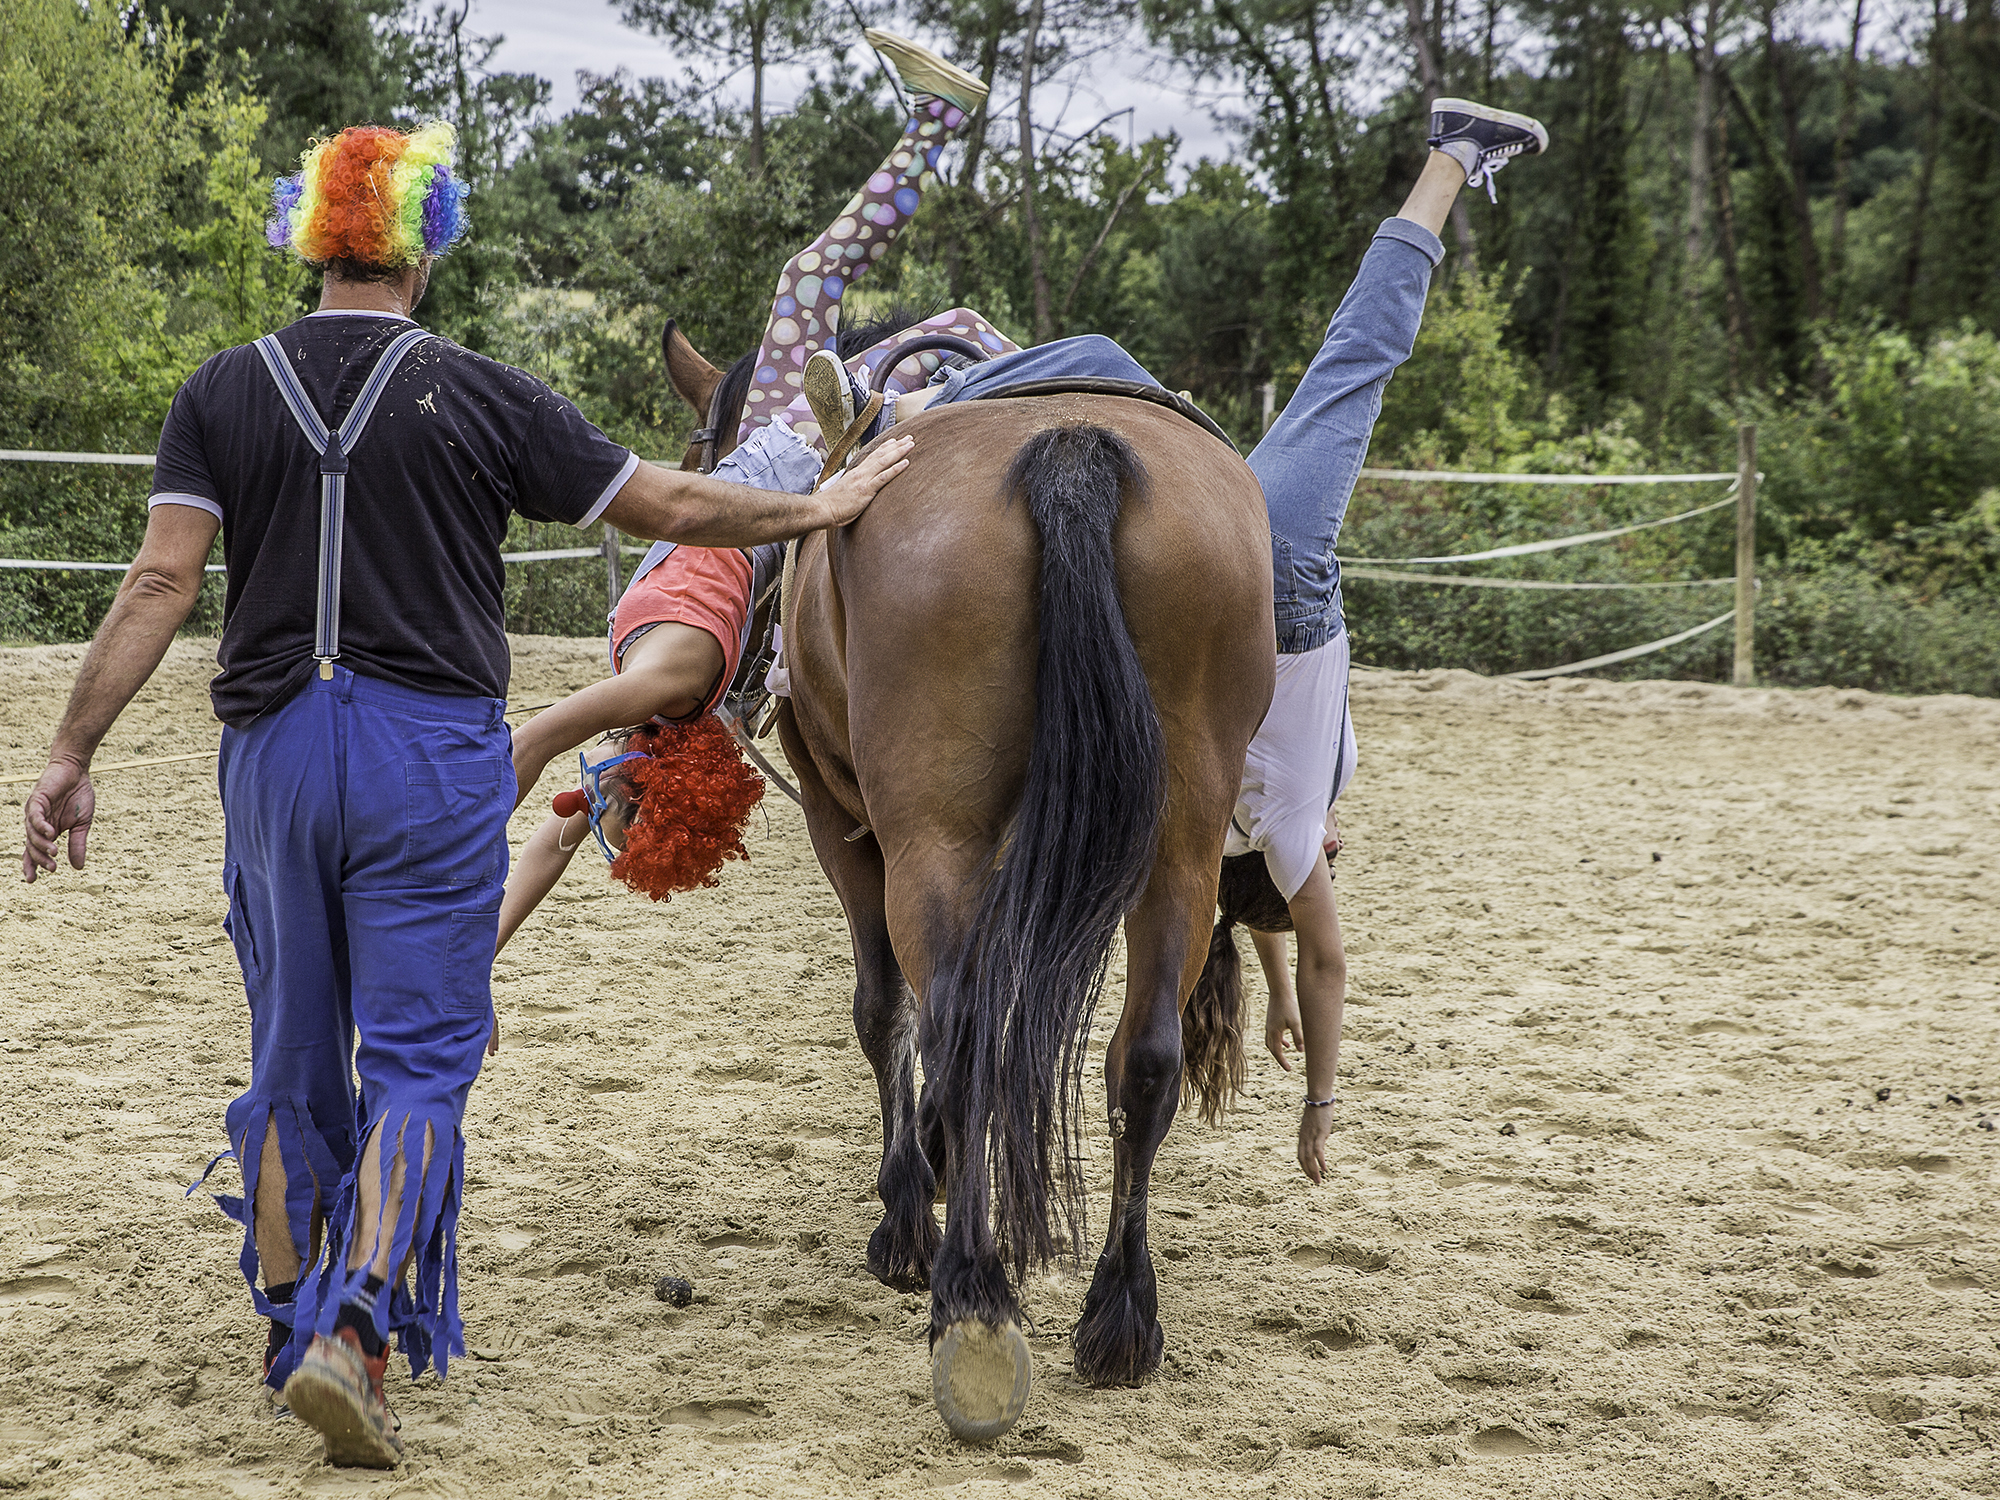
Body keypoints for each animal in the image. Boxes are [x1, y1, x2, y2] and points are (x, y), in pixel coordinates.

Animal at [662, 319, 1275, 1440]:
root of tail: (1071, 449)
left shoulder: (843, 823)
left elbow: (883, 1012)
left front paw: (910, 1208)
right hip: (1179, 845)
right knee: (1144, 1056)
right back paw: (1119, 1318)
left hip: (927, 838)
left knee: (955, 1024)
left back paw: (970, 1303)